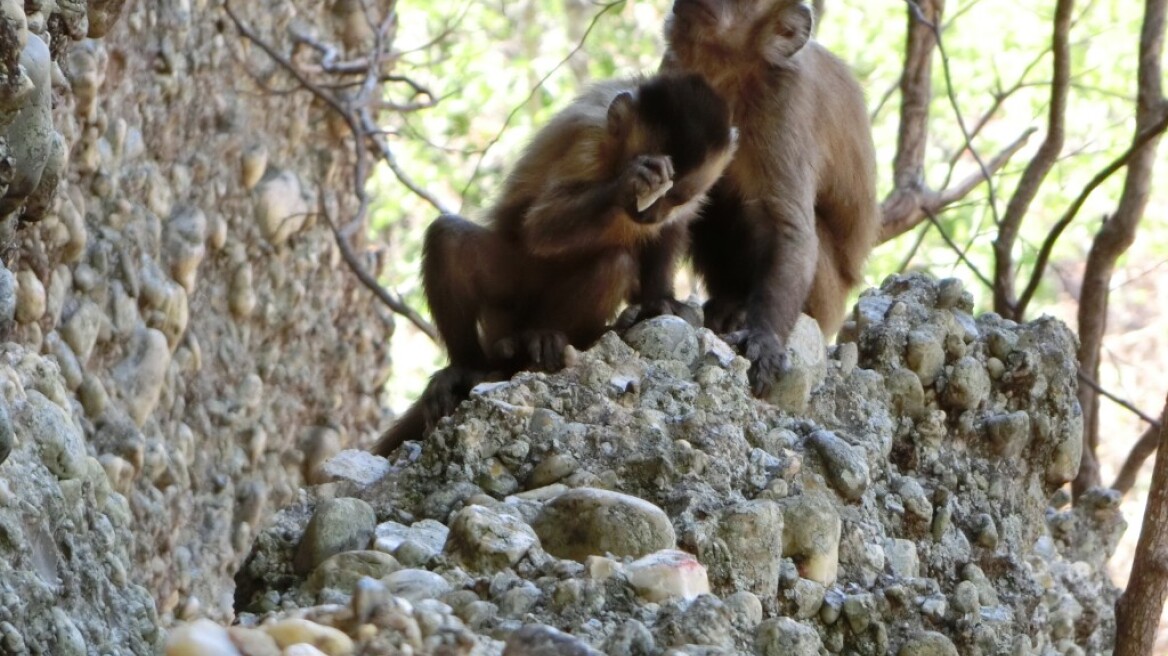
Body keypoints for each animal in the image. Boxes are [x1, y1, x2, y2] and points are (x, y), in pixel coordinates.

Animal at [371, 71, 738, 455]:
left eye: (675, 197)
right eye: (651, 190)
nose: (649, 214)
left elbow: (672, 230)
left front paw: (659, 301)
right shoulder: (587, 139)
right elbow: (541, 226)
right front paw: (628, 182)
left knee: (613, 265)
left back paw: (553, 338)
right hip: (508, 299)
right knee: (450, 238)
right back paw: (472, 366)